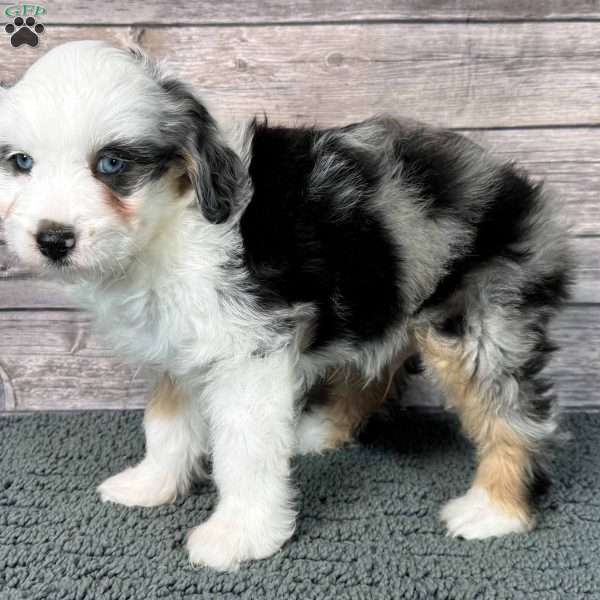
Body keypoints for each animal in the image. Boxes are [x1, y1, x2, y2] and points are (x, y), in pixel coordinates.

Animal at [0, 43, 572, 572]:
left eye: (112, 164)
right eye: (22, 163)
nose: (53, 239)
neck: (172, 223)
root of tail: (523, 191)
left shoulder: (247, 355)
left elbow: (243, 451)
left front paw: (238, 535)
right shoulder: (178, 347)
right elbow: (166, 425)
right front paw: (151, 484)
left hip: (480, 319)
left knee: (512, 413)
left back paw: (495, 509)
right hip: (381, 295)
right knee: (375, 366)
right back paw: (320, 430)